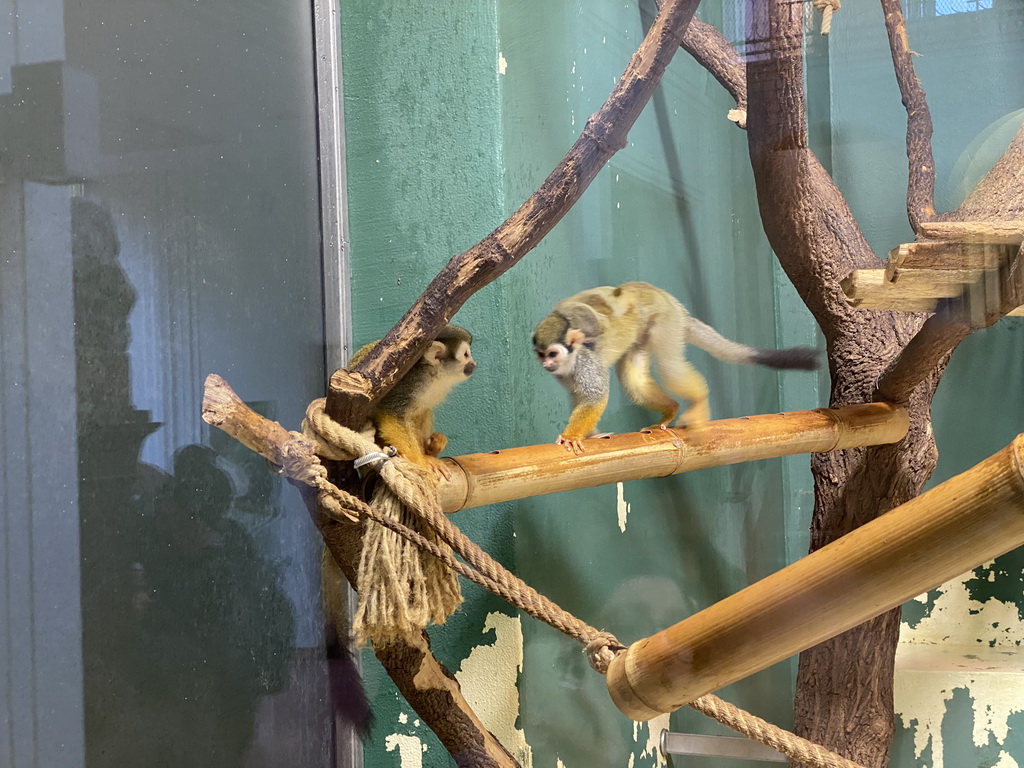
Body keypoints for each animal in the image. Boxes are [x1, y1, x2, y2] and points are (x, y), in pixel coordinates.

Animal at [350, 323, 477, 479]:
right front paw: (420, 463)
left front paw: (428, 453)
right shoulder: (407, 383)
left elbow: (422, 411)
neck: (430, 373)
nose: (474, 363)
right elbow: (392, 416)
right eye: (466, 355)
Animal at [532, 282, 819, 454]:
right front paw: (592, 435)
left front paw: (571, 436)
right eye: (541, 355)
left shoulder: (585, 363)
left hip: (665, 319)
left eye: (552, 354)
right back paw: (671, 409)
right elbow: (578, 396)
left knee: (669, 367)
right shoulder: (564, 375)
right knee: (634, 378)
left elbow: (594, 397)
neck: (571, 360)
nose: (547, 364)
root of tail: (671, 303)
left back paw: (698, 401)